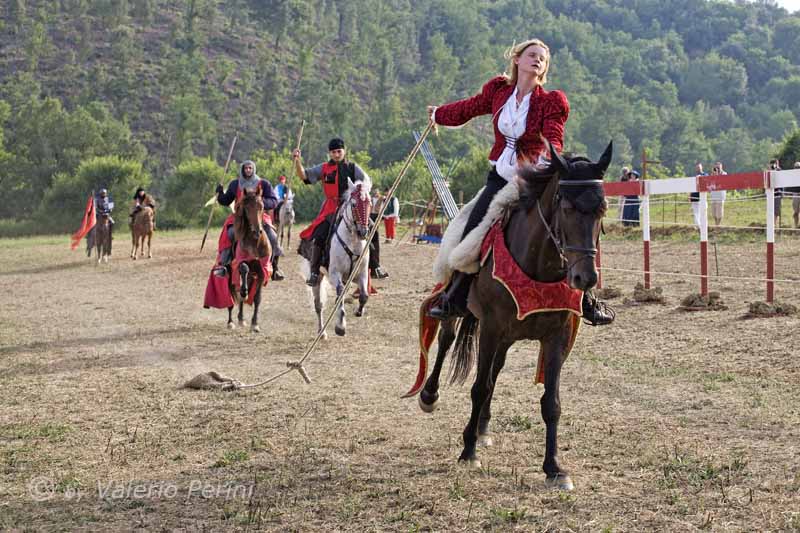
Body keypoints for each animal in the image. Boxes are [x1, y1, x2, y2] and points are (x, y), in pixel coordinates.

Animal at [228, 185, 272, 330]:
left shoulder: (262, 270)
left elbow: (257, 299)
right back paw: (231, 321)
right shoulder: (239, 263)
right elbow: (243, 267)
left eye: (261, 206)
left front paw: (255, 323)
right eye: (246, 208)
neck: (254, 242)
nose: (257, 231)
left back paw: (241, 318)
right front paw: (244, 291)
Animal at [310, 179, 372, 336]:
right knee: (318, 305)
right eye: (354, 204)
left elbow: (364, 295)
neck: (352, 240)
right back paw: (321, 332)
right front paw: (340, 327)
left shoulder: (362, 274)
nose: (363, 232)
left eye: (369, 203)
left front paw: (359, 311)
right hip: (318, 276)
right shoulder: (334, 274)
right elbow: (340, 293)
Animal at [416, 141, 608, 490]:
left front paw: (554, 468)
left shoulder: (556, 336)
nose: (584, 278)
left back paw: (482, 427)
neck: (539, 265)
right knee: (447, 341)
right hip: (464, 313)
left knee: (495, 371)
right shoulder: (491, 328)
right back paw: (430, 395)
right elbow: (479, 387)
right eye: (566, 208)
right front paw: (468, 451)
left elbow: (551, 403)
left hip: (507, 337)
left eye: (602, 209)